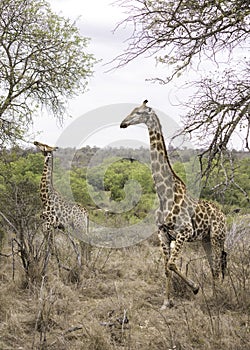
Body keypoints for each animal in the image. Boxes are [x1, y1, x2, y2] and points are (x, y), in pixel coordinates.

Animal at [120, 100, 228, 308]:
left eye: (139, 112)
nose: (123, 123)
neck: (165, 195)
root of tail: (224, 215)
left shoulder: (183, 232)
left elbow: (171, 264)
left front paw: (195, 288)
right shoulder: (163, 234)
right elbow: (166, 268)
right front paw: (166, 302)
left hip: (217, 236)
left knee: (219, 264)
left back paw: (219, 298)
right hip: (205, 239)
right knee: (213, 266)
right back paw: (214, 297)